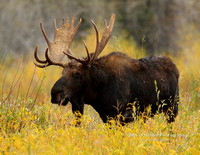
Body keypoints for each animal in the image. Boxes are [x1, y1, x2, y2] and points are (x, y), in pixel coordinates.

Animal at [33, 13, 179, 124]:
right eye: (62, 72)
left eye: (77, 73)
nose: (55, 93)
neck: (97, 93)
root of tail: (175, 66)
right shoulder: (106, 116)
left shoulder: (121, 114)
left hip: (172, 108)